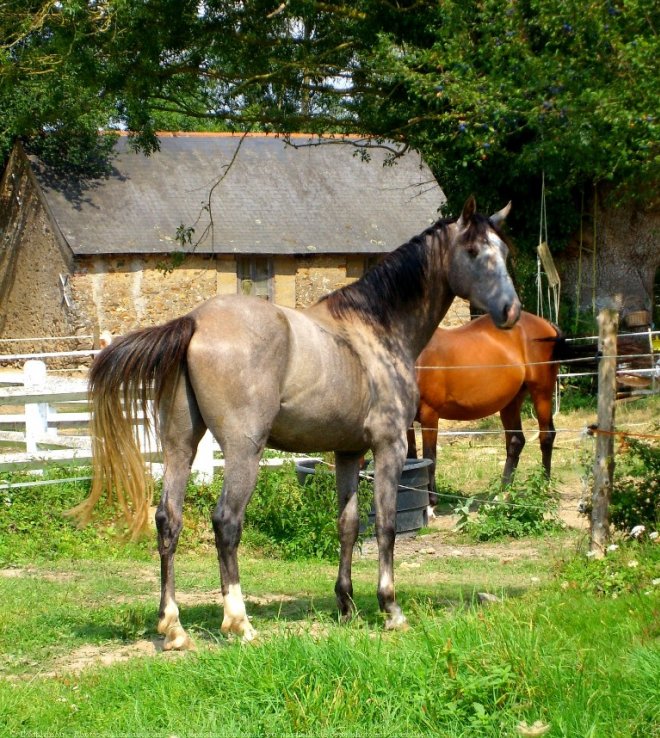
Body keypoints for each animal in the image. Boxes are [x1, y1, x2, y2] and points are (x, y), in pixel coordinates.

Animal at [71, 196, 520, 644]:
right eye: (472, 251)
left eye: (505, 251)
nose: (511, 311)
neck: (375, 329)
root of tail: (195, 322)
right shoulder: (389, 446)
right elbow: (385, 526)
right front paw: (390, 608)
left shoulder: (348, 452)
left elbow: (348, 525)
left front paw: (346, 605)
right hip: (244, 452)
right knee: (226, 522)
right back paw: (239, 620)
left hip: (180, 445)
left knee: (169, 520)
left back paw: (173, 625)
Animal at [404, 308, 564, 504]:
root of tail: (546, 324)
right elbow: (411, 456)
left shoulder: (430, 414)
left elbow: (430, 457)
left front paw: (432, 503)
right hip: (511, 401)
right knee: (516, 441)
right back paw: (502, 493)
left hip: (542, 392)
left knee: (546, 436)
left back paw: (542, 487)